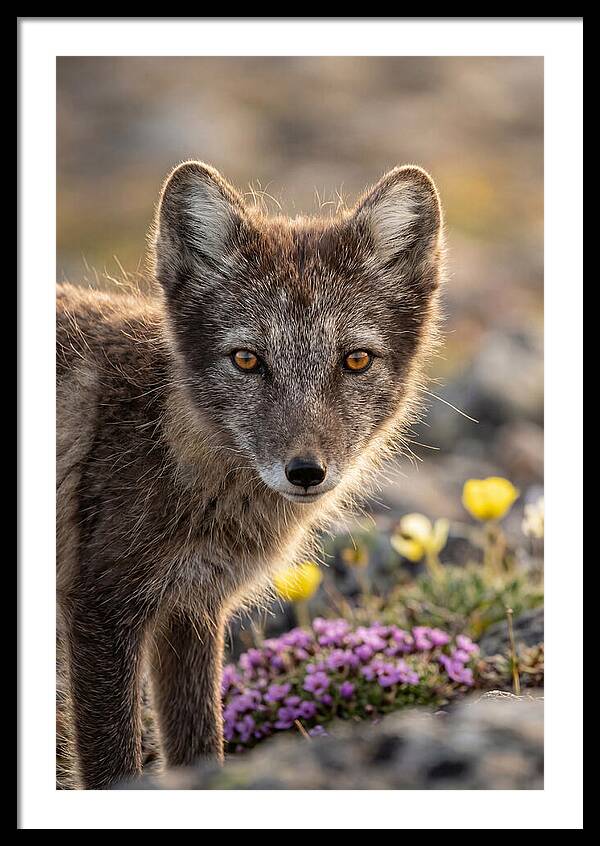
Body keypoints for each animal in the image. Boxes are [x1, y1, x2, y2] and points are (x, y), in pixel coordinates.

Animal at [56, 161, 445, 789]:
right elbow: (113, 768)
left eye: (355, 360)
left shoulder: (191, 610)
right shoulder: (100, 607)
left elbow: (199, 749)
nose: (306, 472)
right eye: (246, 360)